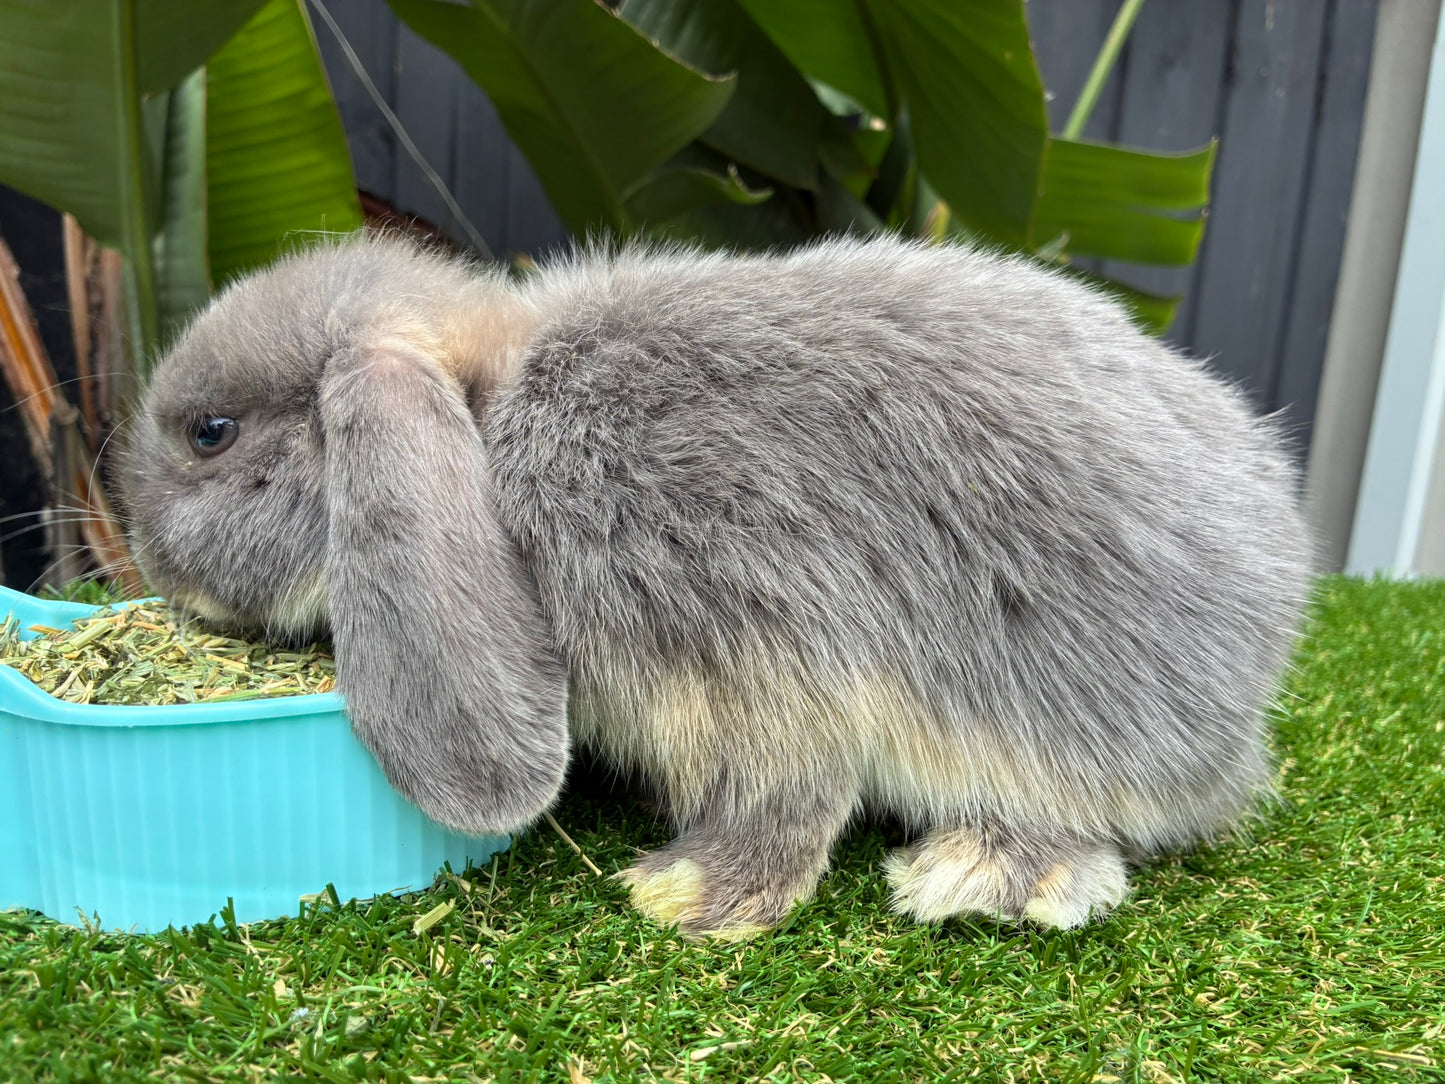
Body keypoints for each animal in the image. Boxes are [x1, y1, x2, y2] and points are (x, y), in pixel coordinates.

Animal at [117, 231, 1312, 939]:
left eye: (211, 433)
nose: (152, 561)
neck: (493, 425)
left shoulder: (750, 623)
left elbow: (793, 786)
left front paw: (689, 896)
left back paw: (992, 870)